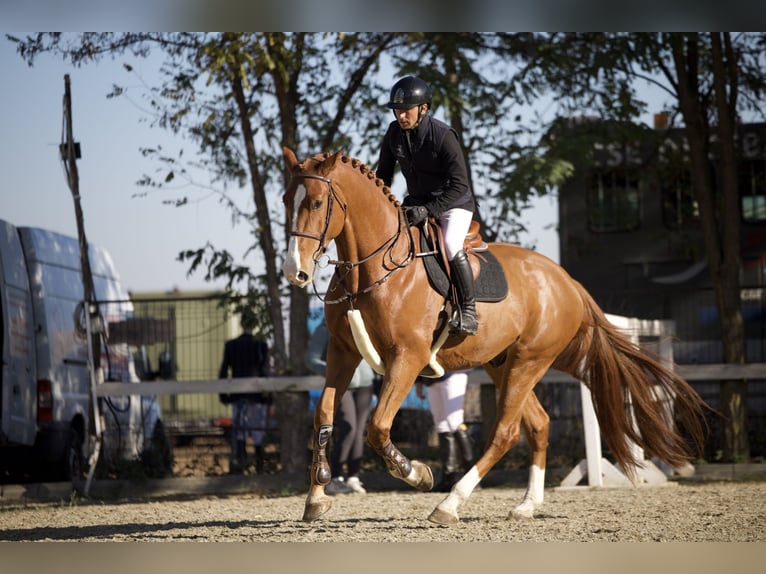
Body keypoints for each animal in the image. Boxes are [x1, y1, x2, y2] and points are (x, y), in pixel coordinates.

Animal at [282, 148, 708, 528]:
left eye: (317, 203)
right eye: (288, 200)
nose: (295, 272)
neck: (373, 271)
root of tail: (566, 280)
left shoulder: (408, 357)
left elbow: (377, 426)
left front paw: (416, 473)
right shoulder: (342, 352)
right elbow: (324, 416)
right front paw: (316, 497)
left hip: (529, 361)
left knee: (505, 432)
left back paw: (449, 505)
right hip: (503, 364)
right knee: (538, 425)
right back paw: (526, 505)